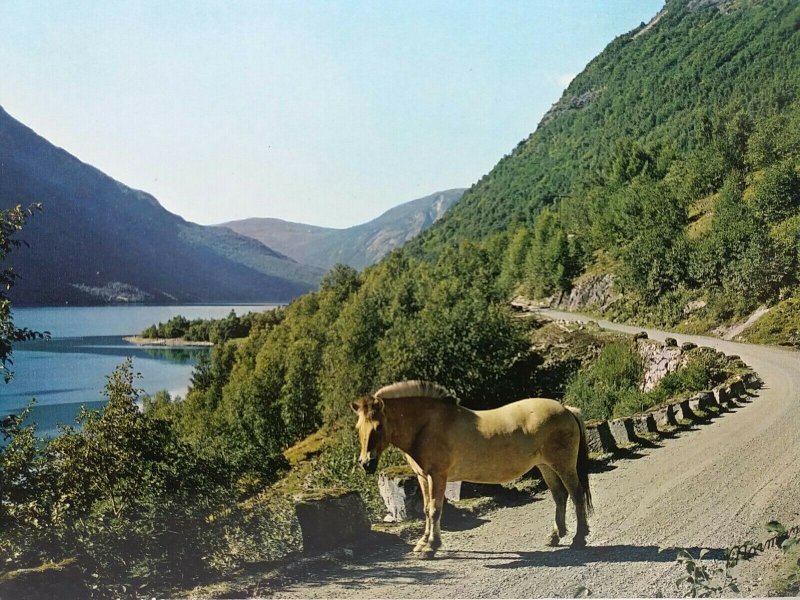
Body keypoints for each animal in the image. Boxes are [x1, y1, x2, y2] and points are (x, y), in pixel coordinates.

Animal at [352, 382, 592, 560]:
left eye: (378, 427)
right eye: (358, 427)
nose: (365, 463)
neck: (427, 424)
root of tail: (567, 410)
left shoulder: (437, 476)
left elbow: (435, 510)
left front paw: (431, 547)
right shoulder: (422, 477)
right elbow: (426, 510)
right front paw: (422, 543)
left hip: (563, 465)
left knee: (576, 495)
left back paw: (579, 539)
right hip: (545, 466)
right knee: (560, 496)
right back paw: (555, 536)